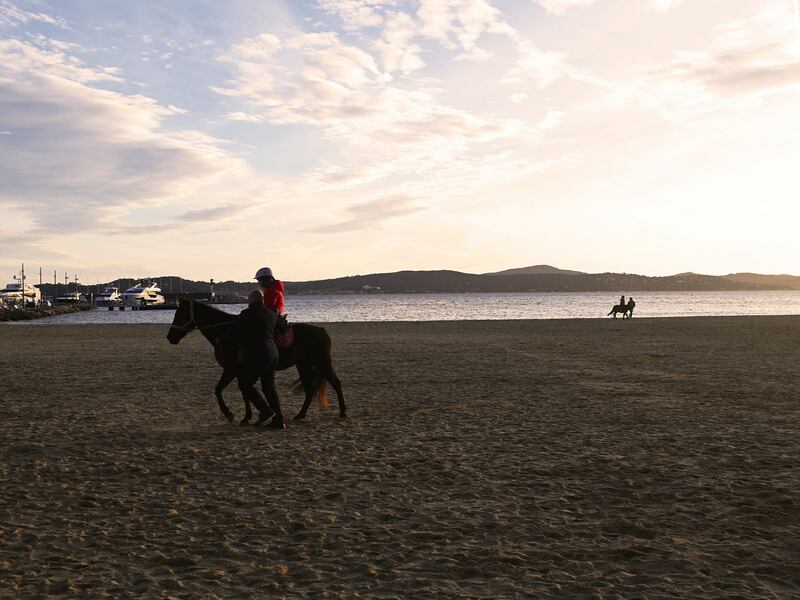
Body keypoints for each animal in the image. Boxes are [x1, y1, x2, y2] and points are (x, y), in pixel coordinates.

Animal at [167, 298, 346, 422]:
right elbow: (242, 391)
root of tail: (321, 330)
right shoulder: (240, 371)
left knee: (336, 383)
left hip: (322, 363)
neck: (226, 331)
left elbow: (220, 390)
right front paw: (248, 416)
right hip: (304, 365)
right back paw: (300, 414)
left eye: (179, 314)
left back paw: (343, 411)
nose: (170, 337)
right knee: (309, 390)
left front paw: (230, 413)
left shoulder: (231, 369)